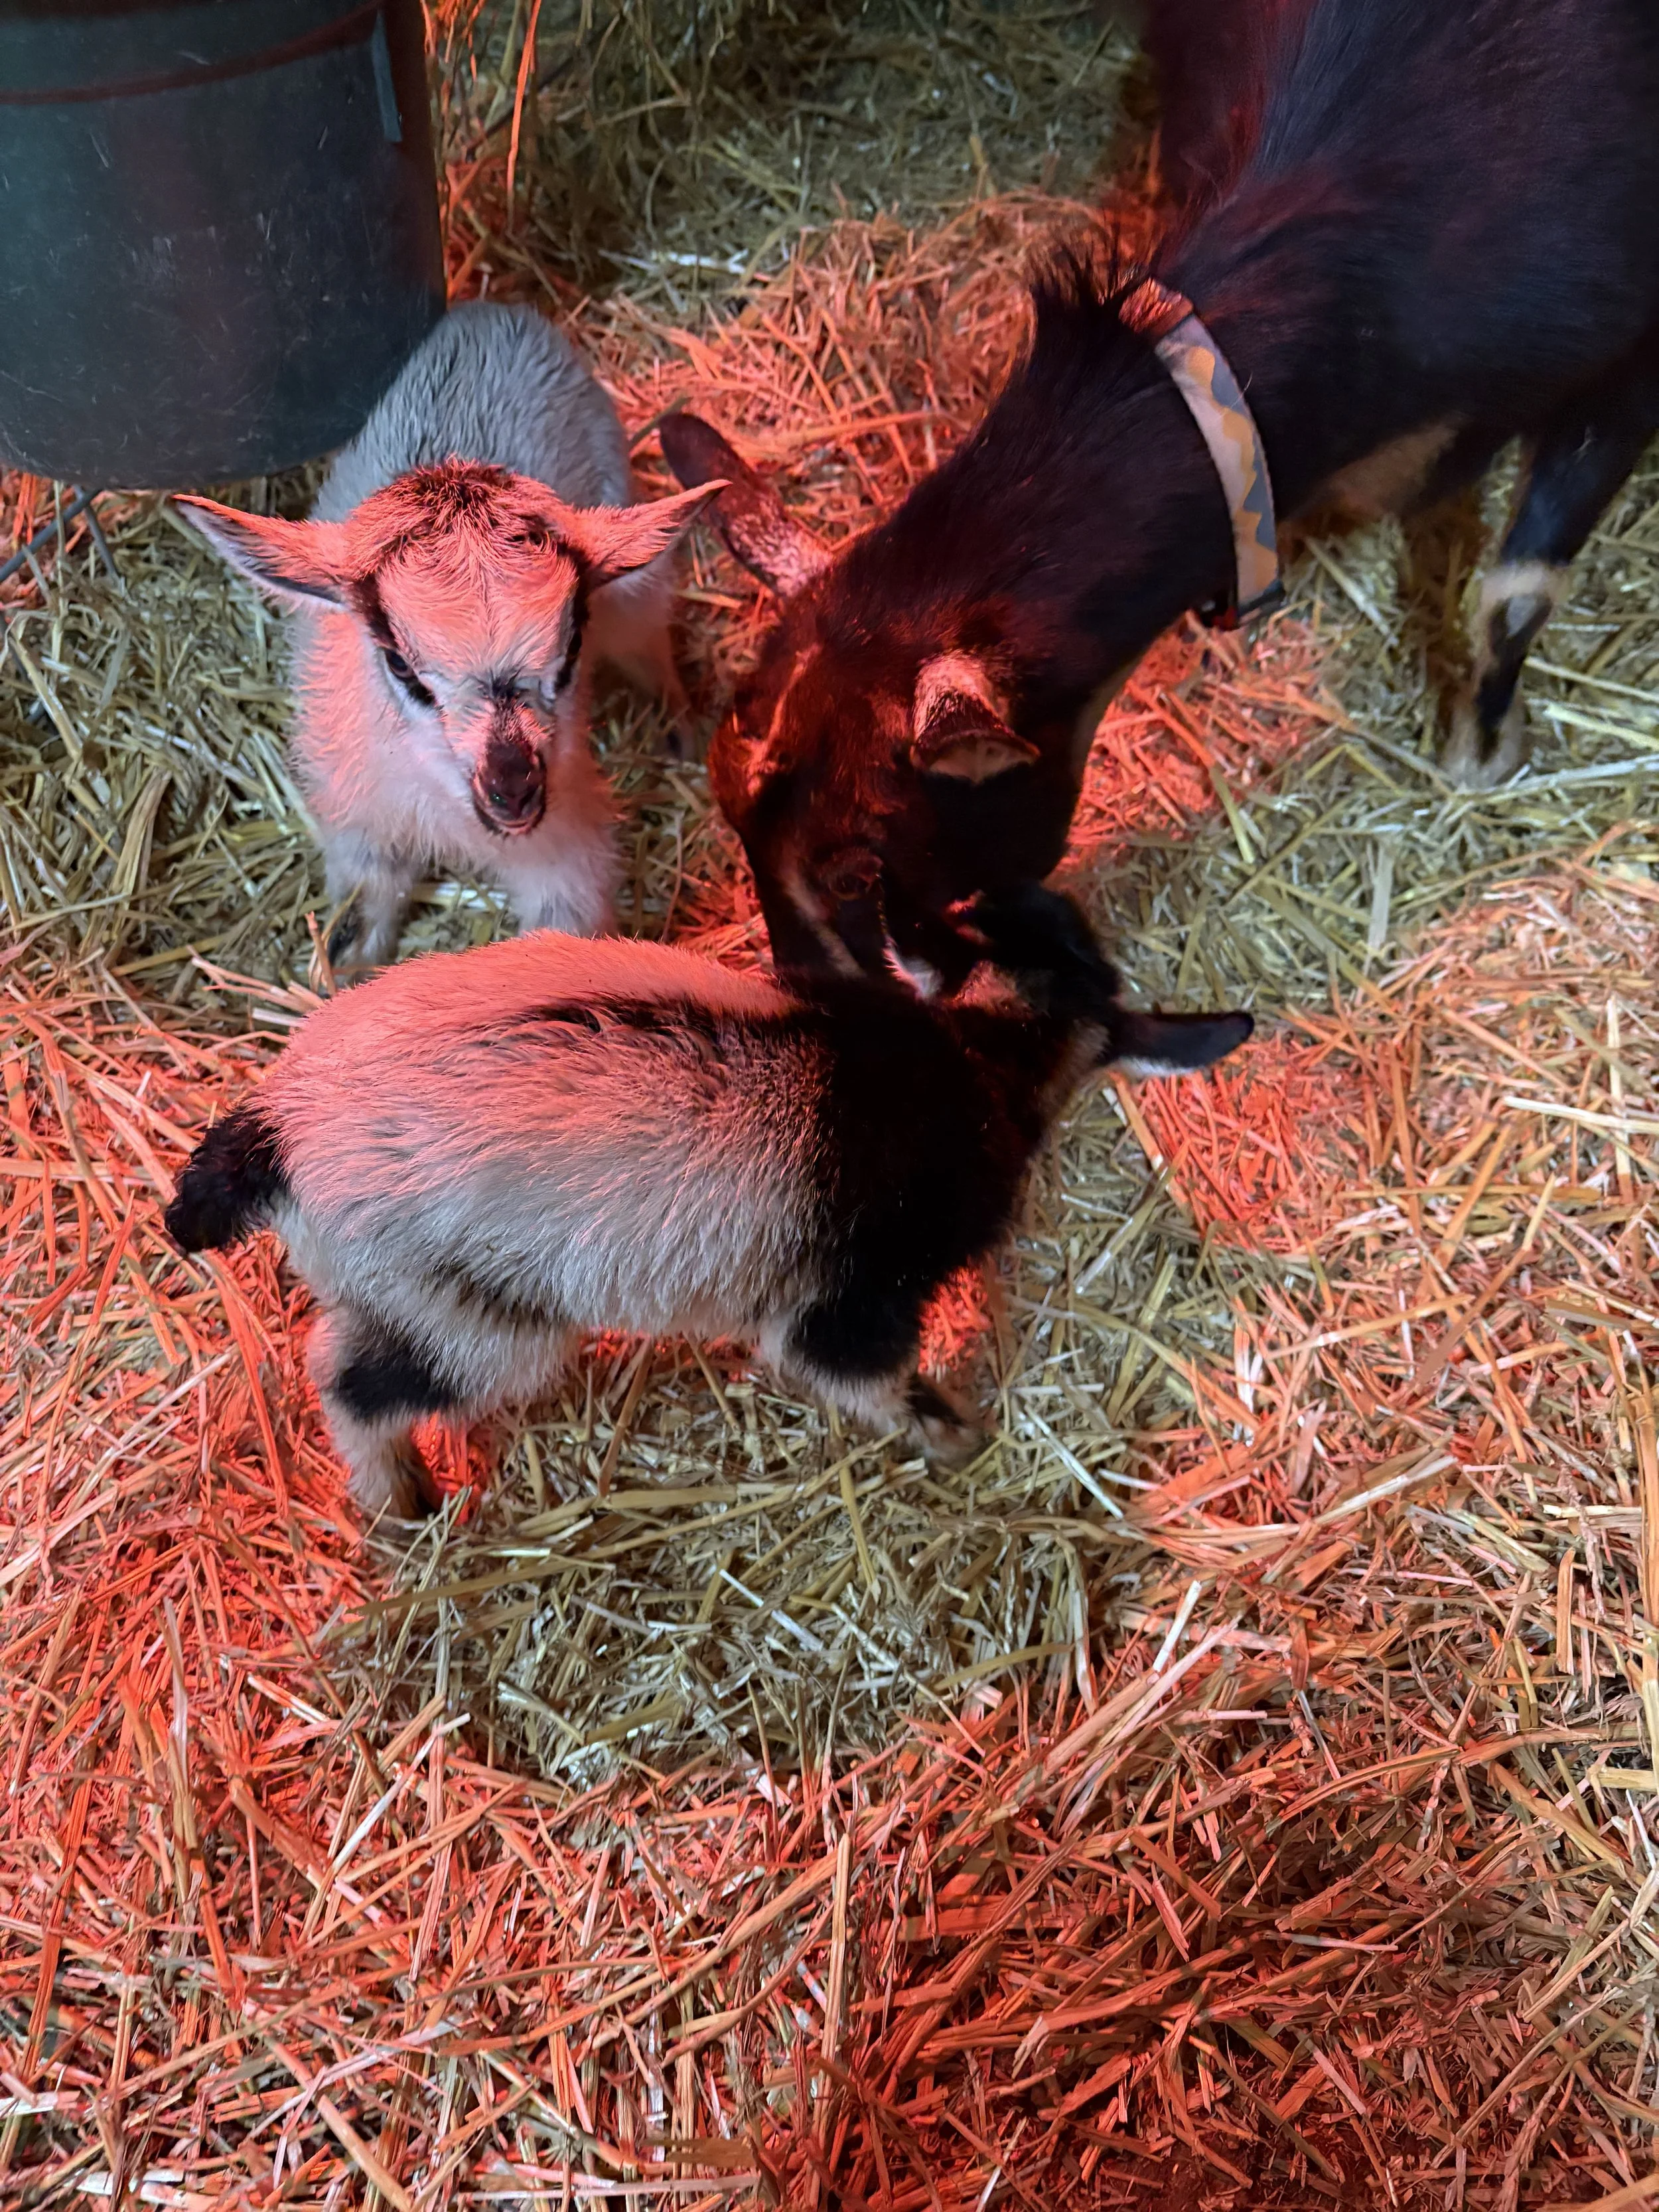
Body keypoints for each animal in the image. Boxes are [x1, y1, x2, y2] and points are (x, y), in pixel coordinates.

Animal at [164, 891, 1251, 1518]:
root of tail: (280, 1127)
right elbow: (867, 1380)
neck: (975, 1057)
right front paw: (957, 1437)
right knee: (351, 1383)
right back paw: (400, 1506)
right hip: (478, 1322)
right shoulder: (849, 1305)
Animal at [178, 302, 717, 971]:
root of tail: (494, 312)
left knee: (650, 642)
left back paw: (681, 734)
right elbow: (355, 924)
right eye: (401, 666)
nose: (513, 790)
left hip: (628, 575)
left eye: (570, 652)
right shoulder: (358, 827)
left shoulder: (566, 851)